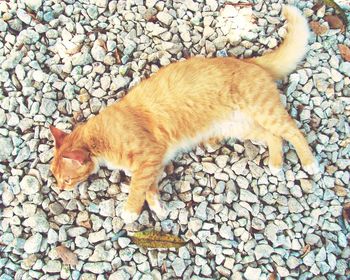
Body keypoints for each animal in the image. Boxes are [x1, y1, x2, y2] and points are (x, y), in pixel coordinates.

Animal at [49, 5, 320, 224]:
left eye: (65, 180)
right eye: (57, 178)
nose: (59, 189)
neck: (99, 139)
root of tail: (249, 62)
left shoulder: (148, 156)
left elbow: (137, 187)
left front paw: (130, 211)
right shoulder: (153, 163)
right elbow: (150, 188)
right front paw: (158, 208)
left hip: (265, 111)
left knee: (292, 131)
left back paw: (309, 163)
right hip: (243, 127)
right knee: (273, 136)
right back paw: (275, 164)